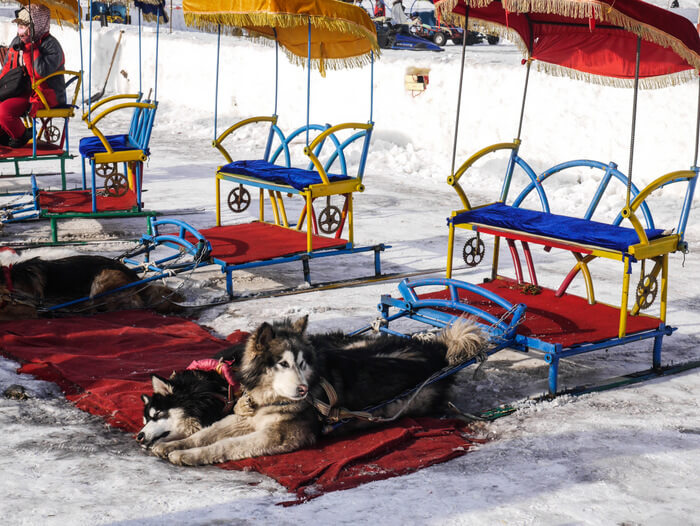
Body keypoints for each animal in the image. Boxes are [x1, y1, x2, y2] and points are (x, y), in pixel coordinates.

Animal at [150, 316, 484, 468]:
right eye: (282, 364)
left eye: (301, 363)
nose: (302, 389)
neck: (270, 398)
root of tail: (436, 352)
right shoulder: (245, 417)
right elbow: (208, 432)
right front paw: (176, 443)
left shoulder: (277, 436)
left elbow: (225, 445)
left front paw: (187, 454)